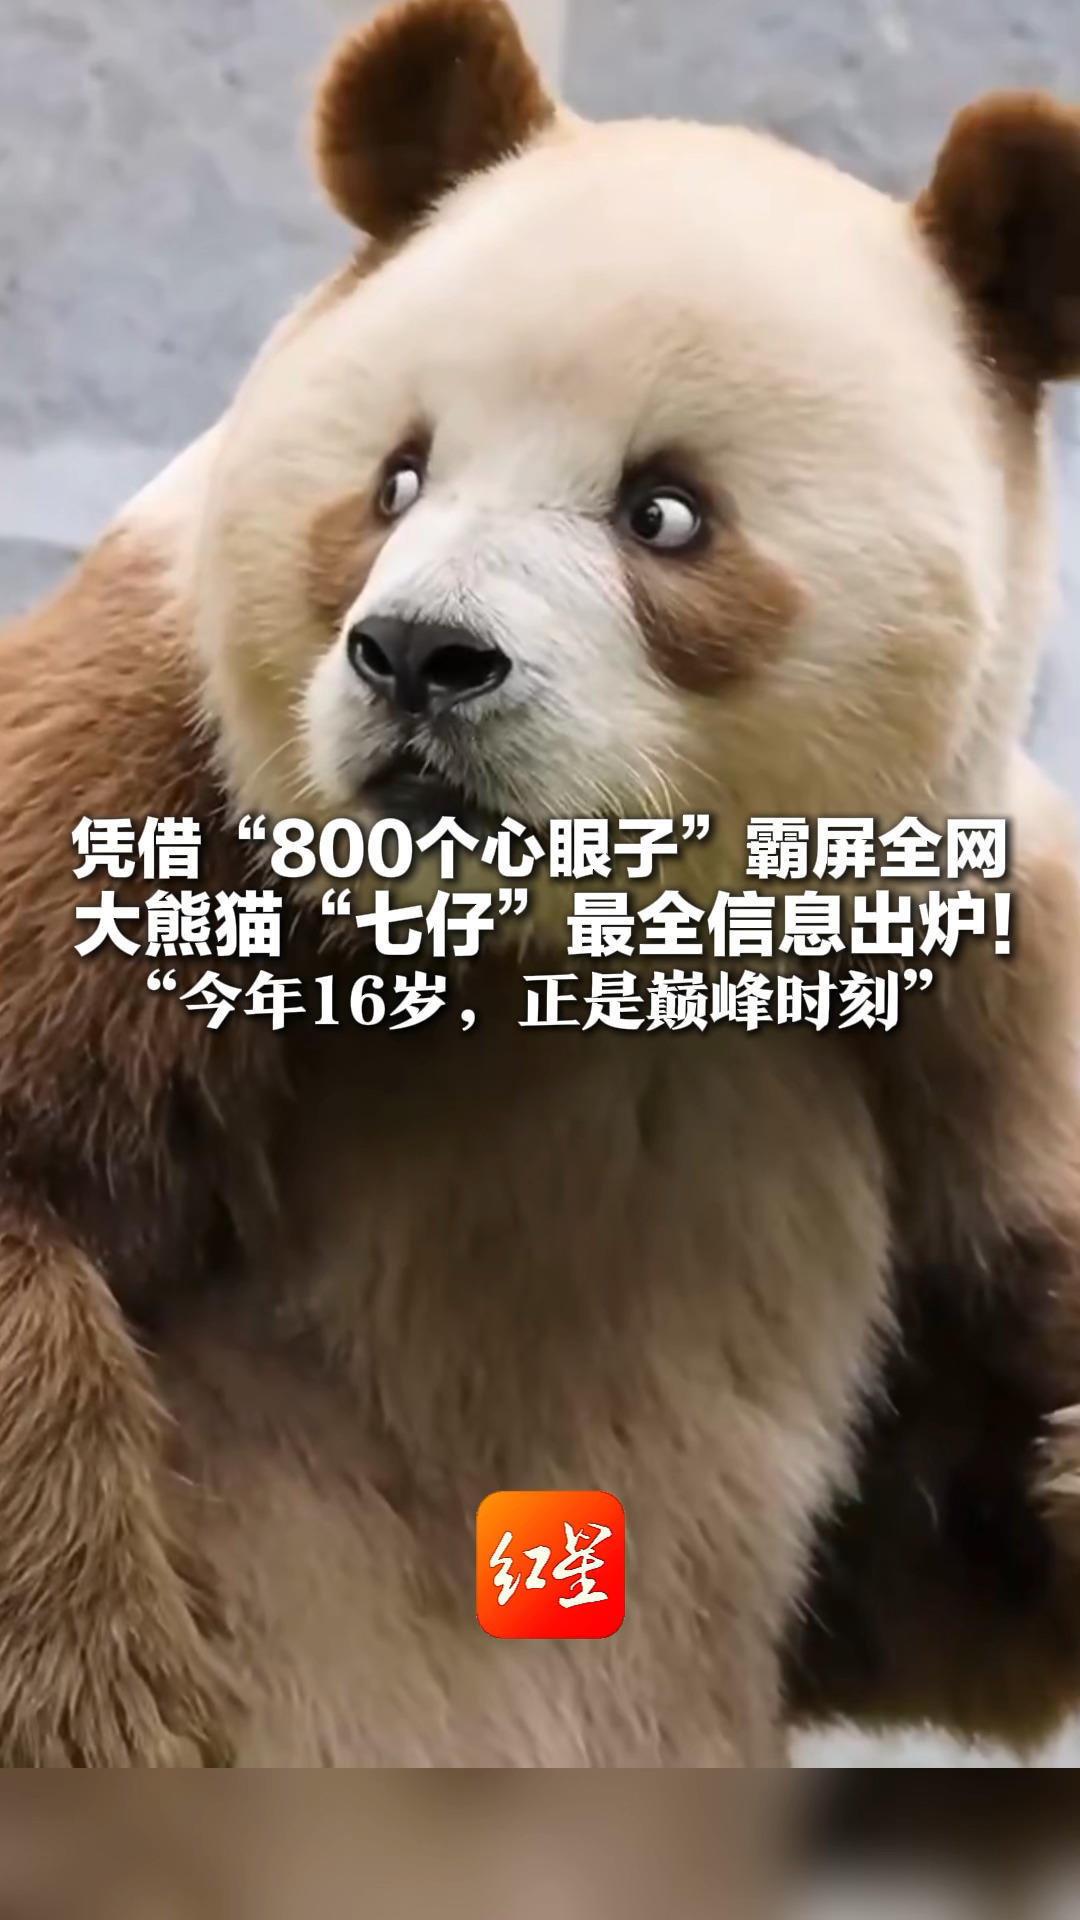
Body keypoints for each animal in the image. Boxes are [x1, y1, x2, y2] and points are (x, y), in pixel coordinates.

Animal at [1, 0, 1079, 1764]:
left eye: (667, 511)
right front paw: (117, 1730)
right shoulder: (159, 768)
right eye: (396, 475)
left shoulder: (960, 980)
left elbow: (916, 1527)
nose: (420, 659)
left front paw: (1063, 1468)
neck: (555, 947)